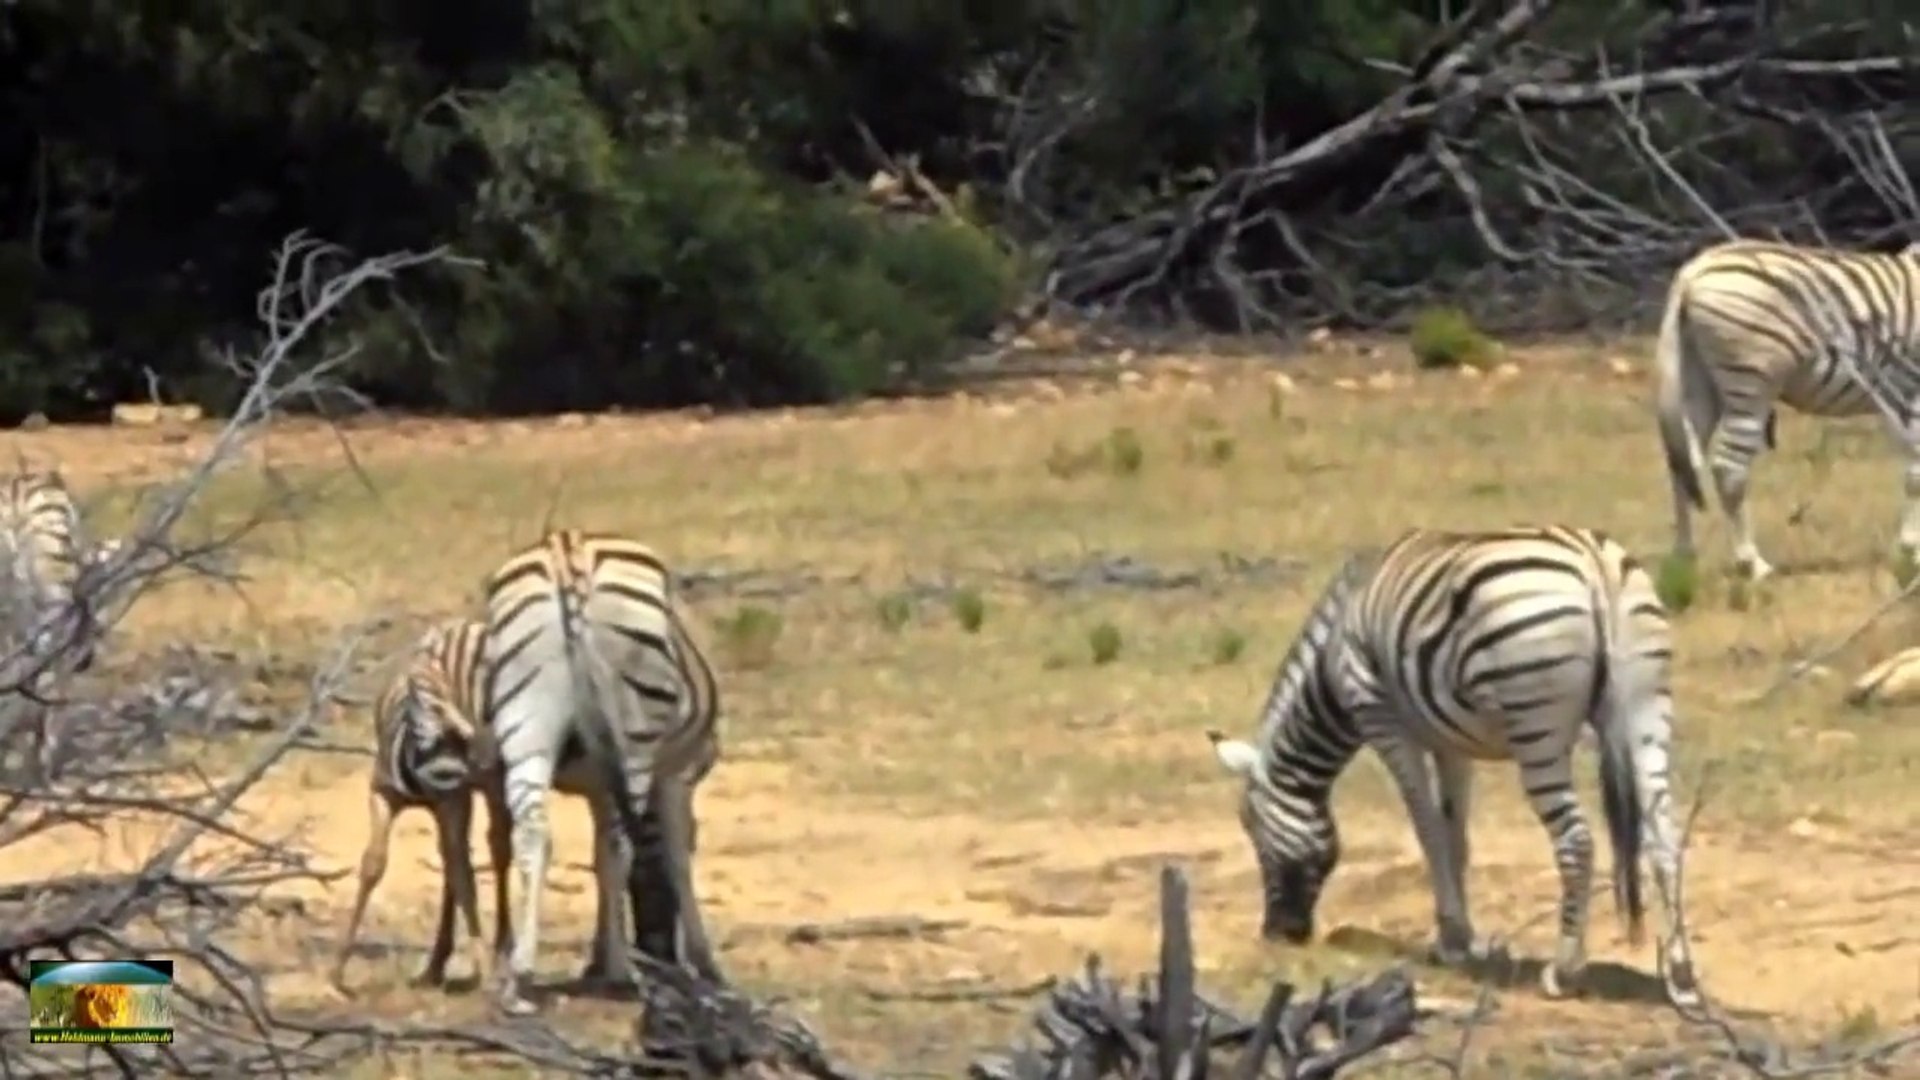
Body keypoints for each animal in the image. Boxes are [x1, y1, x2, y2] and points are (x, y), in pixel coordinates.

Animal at [483, 528, 724, 1015]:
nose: (658, 949)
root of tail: (567, 549)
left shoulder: (597, 784)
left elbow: (598, 857)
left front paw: (597, 956)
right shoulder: (679, 774)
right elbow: (675, 858)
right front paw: (703, 964)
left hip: (525, 721)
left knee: (534, 834)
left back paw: (520, 976)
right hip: (632, 729)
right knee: (621, 843)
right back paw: (621, 972)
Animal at [1204, 526, 1701, 1006]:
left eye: (1253, 832)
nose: (1278, 934)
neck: (1332, 665)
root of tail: (1594, 563)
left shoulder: (1385, 723)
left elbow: (1427, 829)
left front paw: (1449, 937)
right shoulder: (1452, 743)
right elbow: (1456, 835)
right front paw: (1464, 937)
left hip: (1535, 725)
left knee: (1576, 840)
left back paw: (1562, 970)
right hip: (1646, 707)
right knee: (1664, 835)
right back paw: (1680, 974)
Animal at [1656, 238, 1920, 582]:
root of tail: (1693, 271)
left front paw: (1909, 548)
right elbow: (1915, 476)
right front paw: (1912, 552)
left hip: (1697, 383)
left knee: (1684, 463)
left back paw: (1684, 557)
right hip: (1751, 380)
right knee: (1728, 469)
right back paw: (1751, 563)